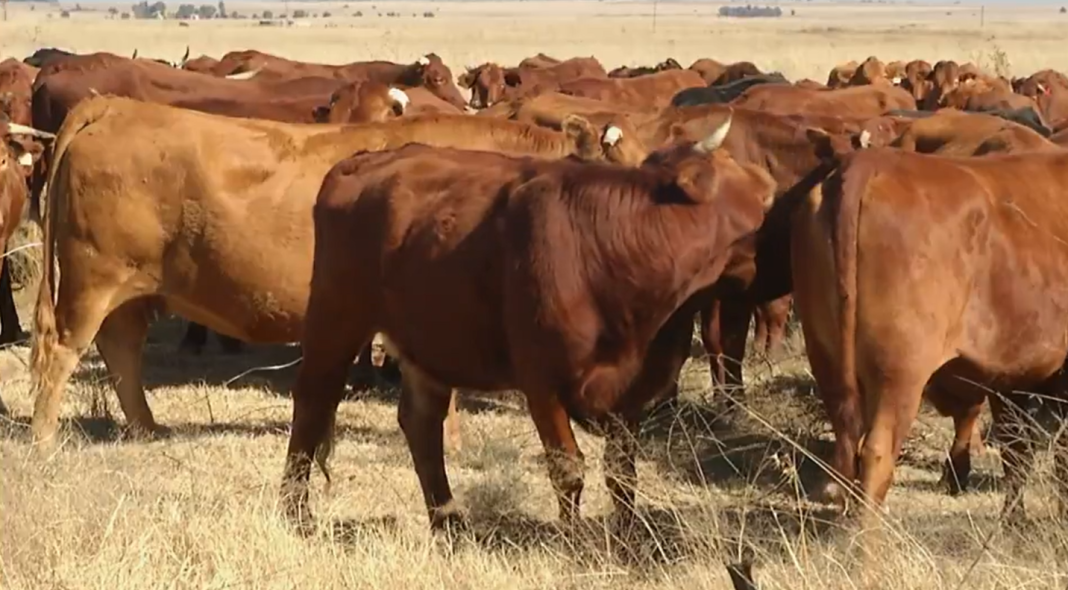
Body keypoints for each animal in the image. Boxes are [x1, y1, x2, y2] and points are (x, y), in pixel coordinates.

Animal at [26, 96, 649, 448]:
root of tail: (116, 105)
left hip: (130, 289)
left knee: (121, 351)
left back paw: (146, 430)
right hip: (94, 278)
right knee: (62, 351)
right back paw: (44, 441)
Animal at [278, 115, 776, 534]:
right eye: (760, 196)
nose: (772, 185)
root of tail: (361, 161)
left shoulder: (630, 392)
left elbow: (621, 471)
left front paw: (629, 534)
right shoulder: (543, 382)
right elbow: (568, 468)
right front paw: (573, 540)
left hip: (427, 340)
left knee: (420, 424)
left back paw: (448, 519)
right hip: (336, 318)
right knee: (314, 403)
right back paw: (295, 511)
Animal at [792, 147, 1068, 524]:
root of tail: (867, 163)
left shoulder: (1010, 375)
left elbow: (1017, 451)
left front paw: (1013, 521)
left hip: (826, 358)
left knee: (847, 443)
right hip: (901, 373)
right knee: (876, 452)